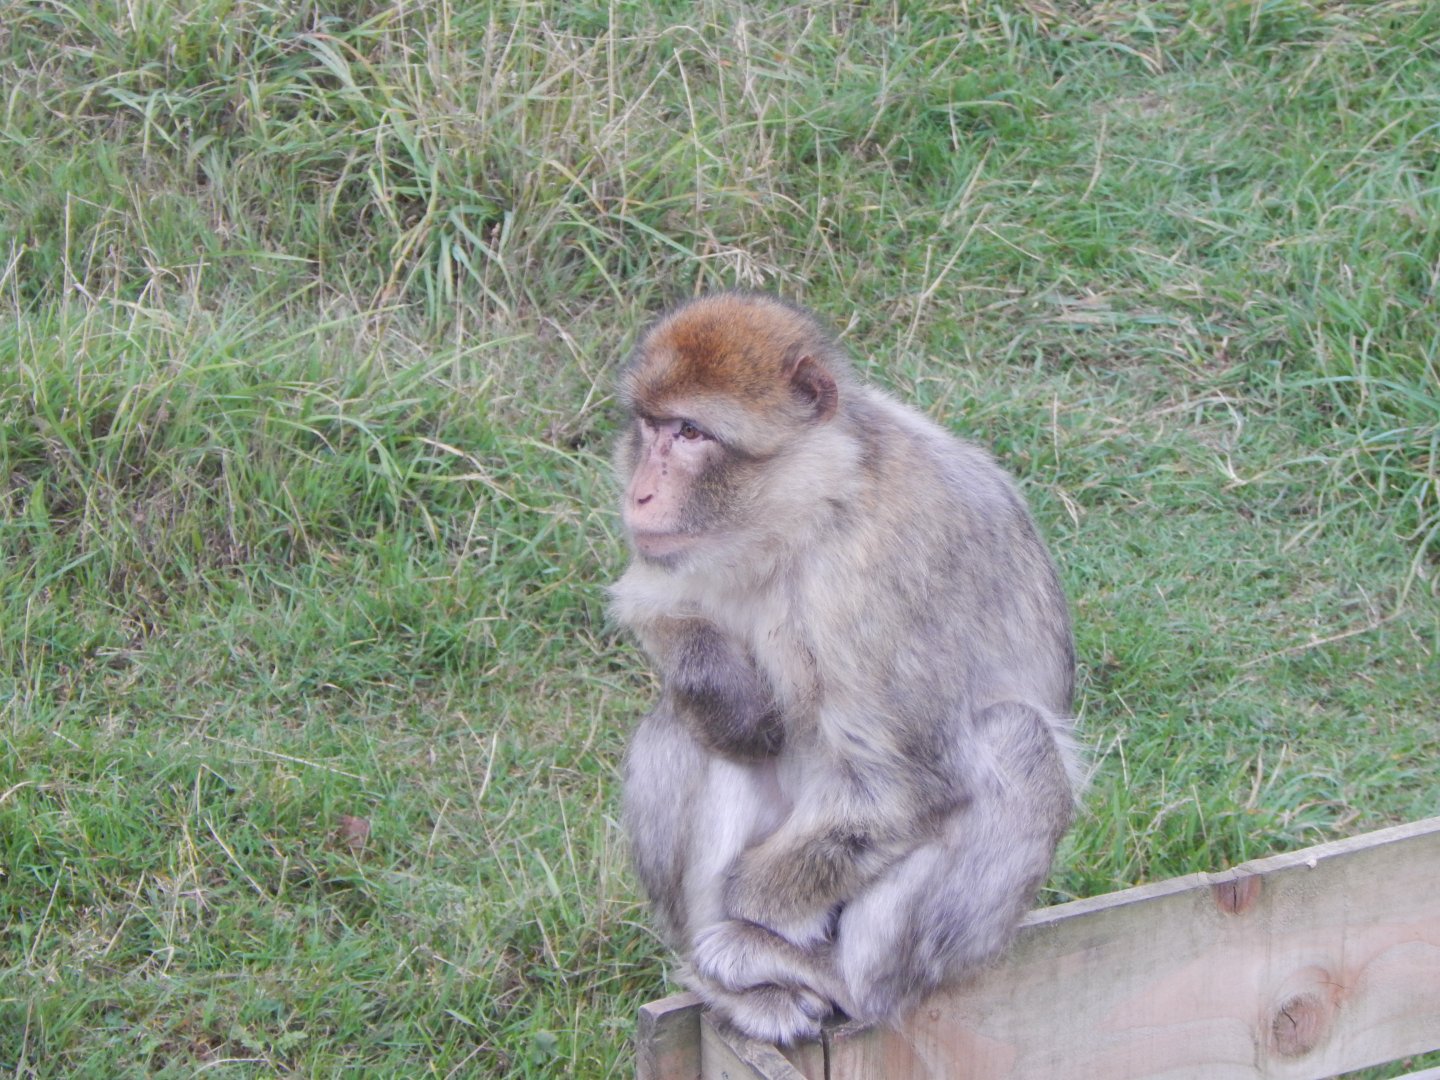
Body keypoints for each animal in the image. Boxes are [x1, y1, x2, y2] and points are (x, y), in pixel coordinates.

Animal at [610, 292, 1080, 1046]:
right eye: (651, 427)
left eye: (690, 433)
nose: (640, 494)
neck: (811, 511)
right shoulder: (679, 554)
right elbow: (656, 607)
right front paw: (727, 690)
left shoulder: (882, 573)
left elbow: (905, 786)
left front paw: (749, 904)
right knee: (686, 727)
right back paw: (739, 992)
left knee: (1016, 736)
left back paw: (828, 975)